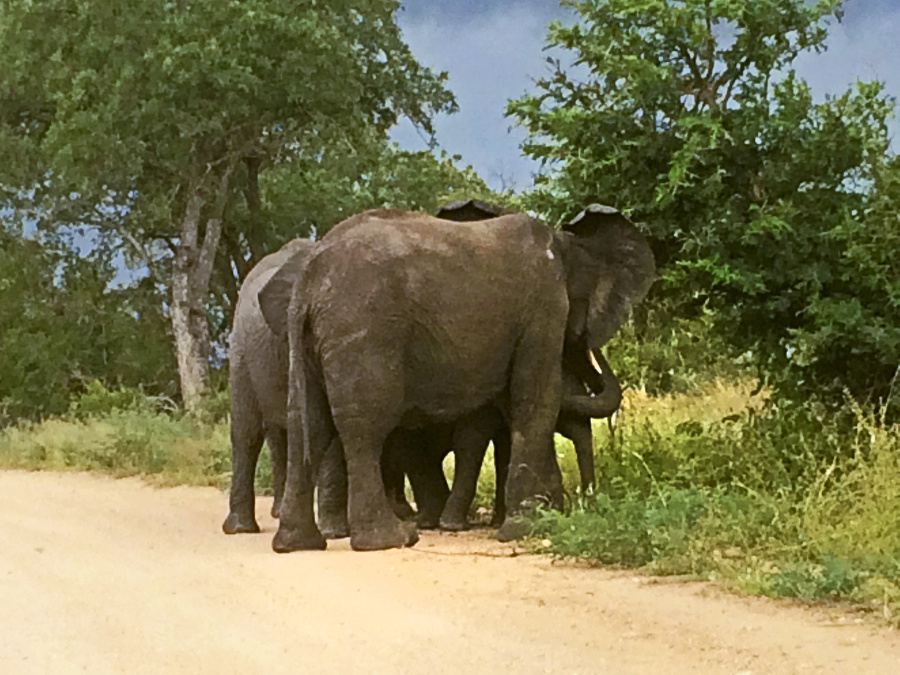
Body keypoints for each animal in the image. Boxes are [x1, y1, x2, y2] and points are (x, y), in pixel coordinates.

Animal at [258, 203, 652, 552]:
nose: (587, 345)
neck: (567, 243)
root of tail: (308, 282)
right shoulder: (545, 306)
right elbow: (536, 396)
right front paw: (525, 528)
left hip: (312, 338)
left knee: (309, 422)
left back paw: (297, 544)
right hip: (364, 328)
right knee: (365, 428)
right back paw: (391, 540)